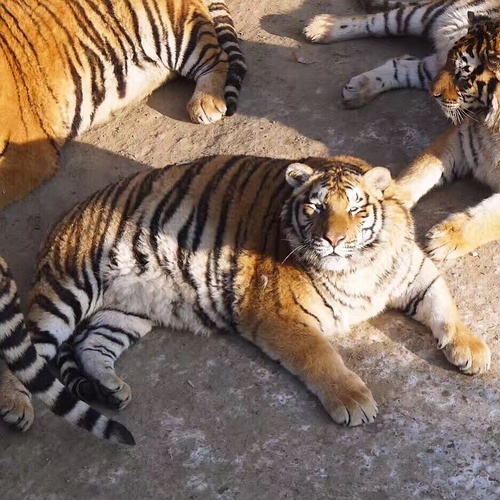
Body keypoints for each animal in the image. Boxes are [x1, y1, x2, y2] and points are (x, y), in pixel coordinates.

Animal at [302, 0, 498, 109]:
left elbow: (402, 72)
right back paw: (321, 27)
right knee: (377, 21)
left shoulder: (435, 73)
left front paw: (357, 90)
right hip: (425, 14)